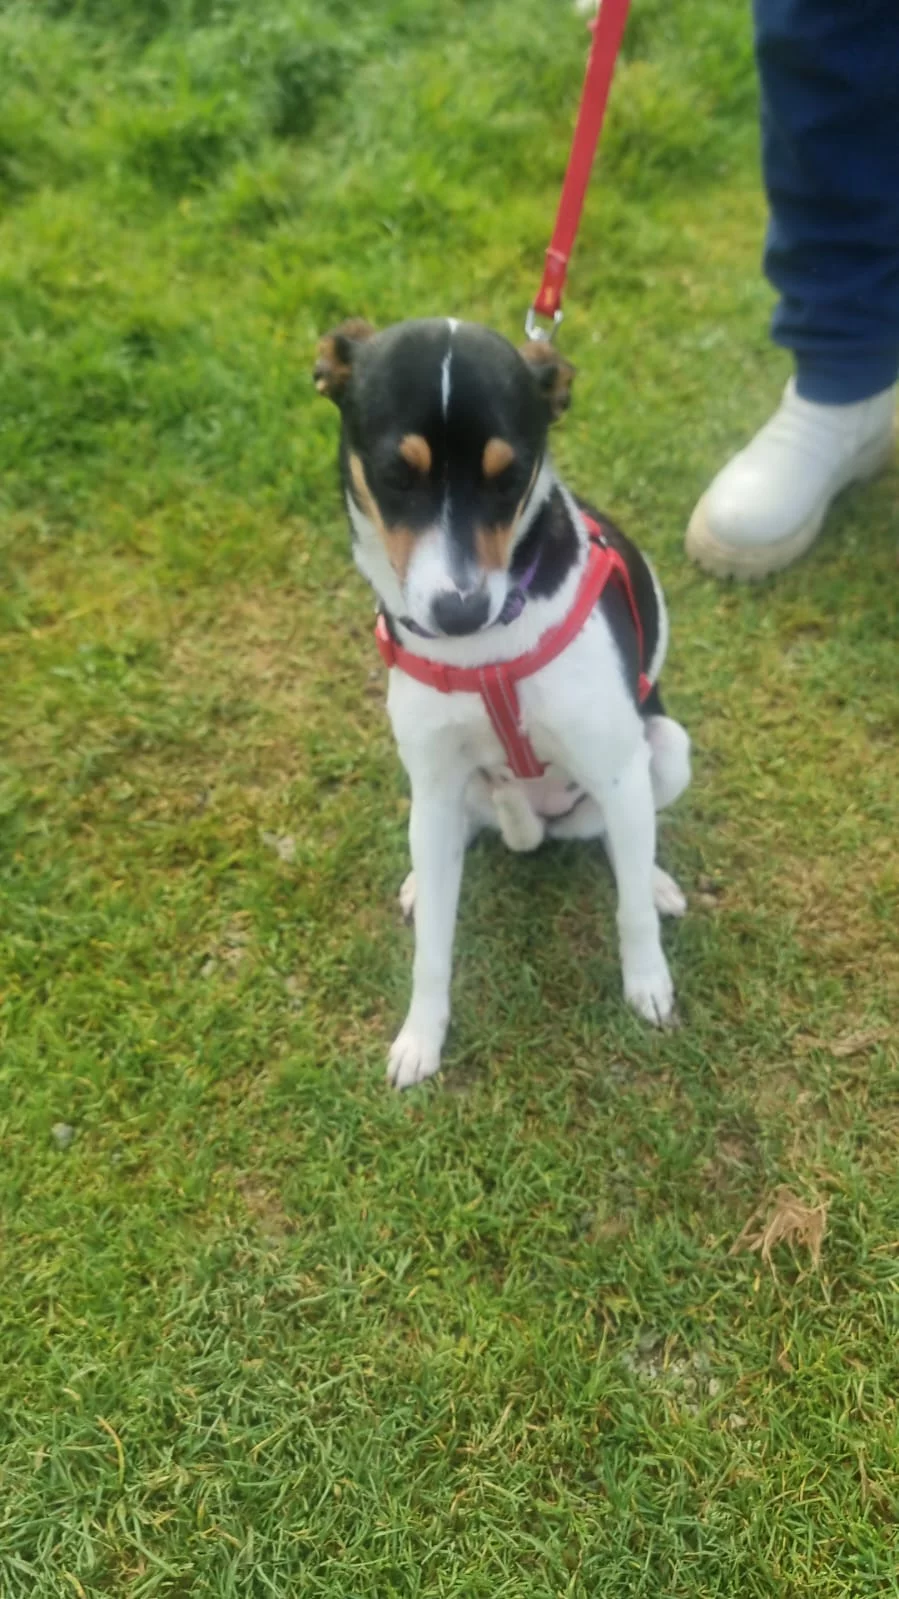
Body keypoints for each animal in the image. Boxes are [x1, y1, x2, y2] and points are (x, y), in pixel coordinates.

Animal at [314, 317, 691, 1087]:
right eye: (396, 476)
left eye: (509, 478)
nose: (457, 612)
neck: (484, 654)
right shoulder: (432, 782)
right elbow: (433, 949)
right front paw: (421, 1035)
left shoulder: (618, 770)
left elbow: (629, 911)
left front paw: (648, 984)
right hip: (444, 798)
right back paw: (420, 881)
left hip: (664, 750)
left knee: (617, 842)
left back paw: (656, 881)